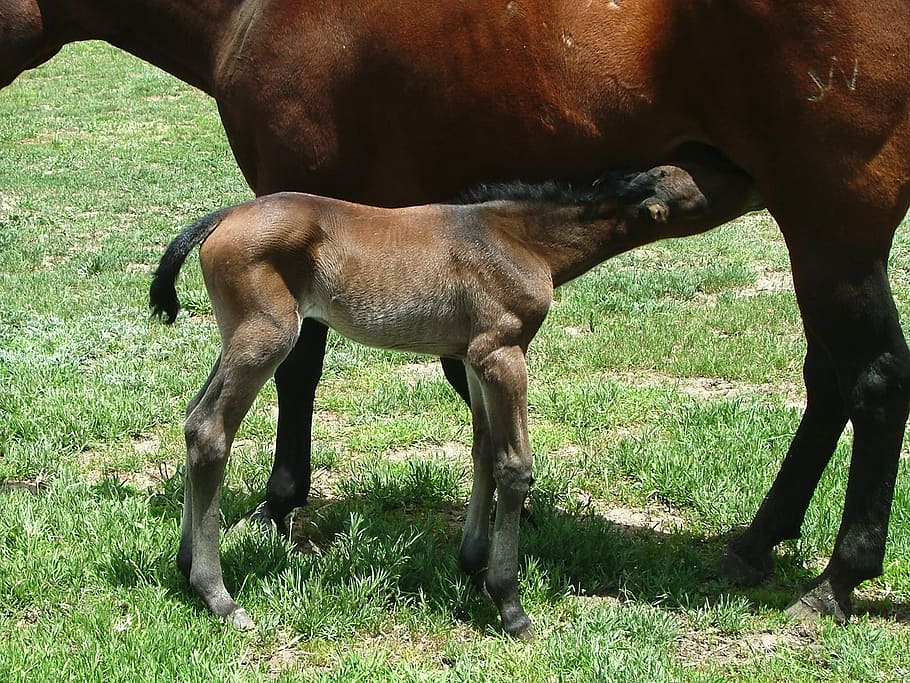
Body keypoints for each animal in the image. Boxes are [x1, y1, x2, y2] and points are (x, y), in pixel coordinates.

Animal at [149, 161, 756, 637]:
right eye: (699, 192)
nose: (746, 182)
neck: (519, 240)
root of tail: (221, 217)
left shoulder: (471, 357)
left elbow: (483, 448)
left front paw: (471, 562)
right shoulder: (502, 353)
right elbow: (514, 466)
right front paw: (509, 602)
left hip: (237, 337)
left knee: (192, 420)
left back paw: (186, 563)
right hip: (267, 336)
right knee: (211, 430)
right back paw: (219, 596)